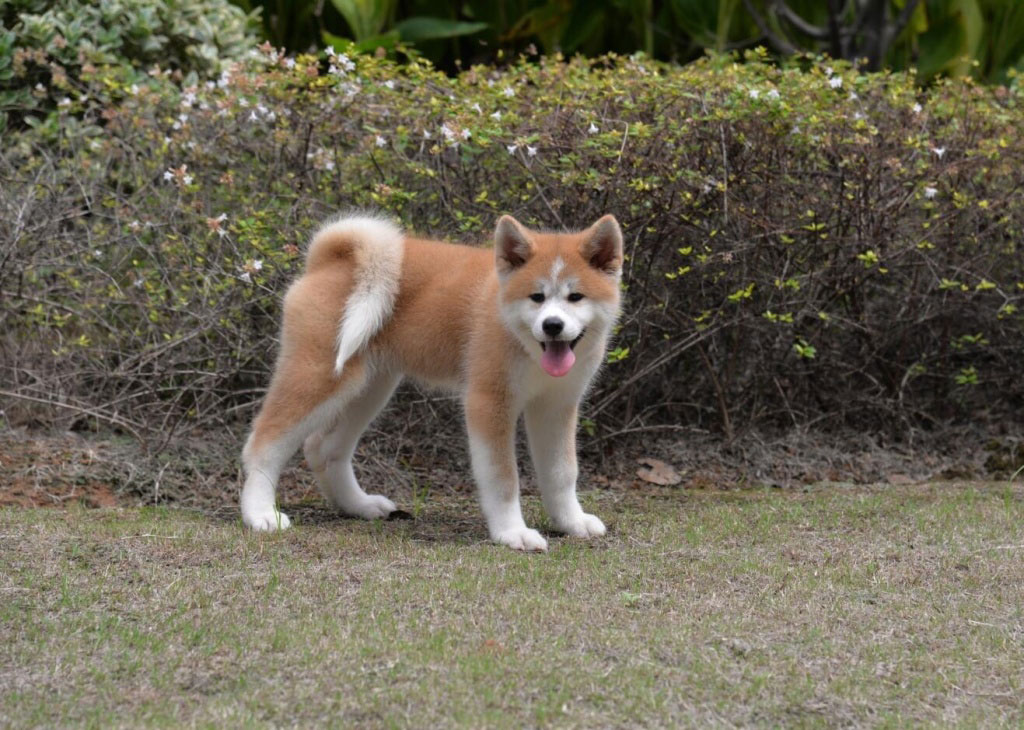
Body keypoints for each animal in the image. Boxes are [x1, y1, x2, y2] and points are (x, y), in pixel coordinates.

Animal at [241, 210, 622, 548]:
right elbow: (502, 478)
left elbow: (562, 473)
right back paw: (260, 513)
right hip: (319, 378)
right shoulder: (488, 403)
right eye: (537, 297)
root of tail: (326, 259)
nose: (552, 325)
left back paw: (358, 505)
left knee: (324, 448)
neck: (522, 341)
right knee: (264, 443)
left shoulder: (557, 407)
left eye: (575, 297)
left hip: (368, 388)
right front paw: (512, 533)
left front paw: (571, 521)